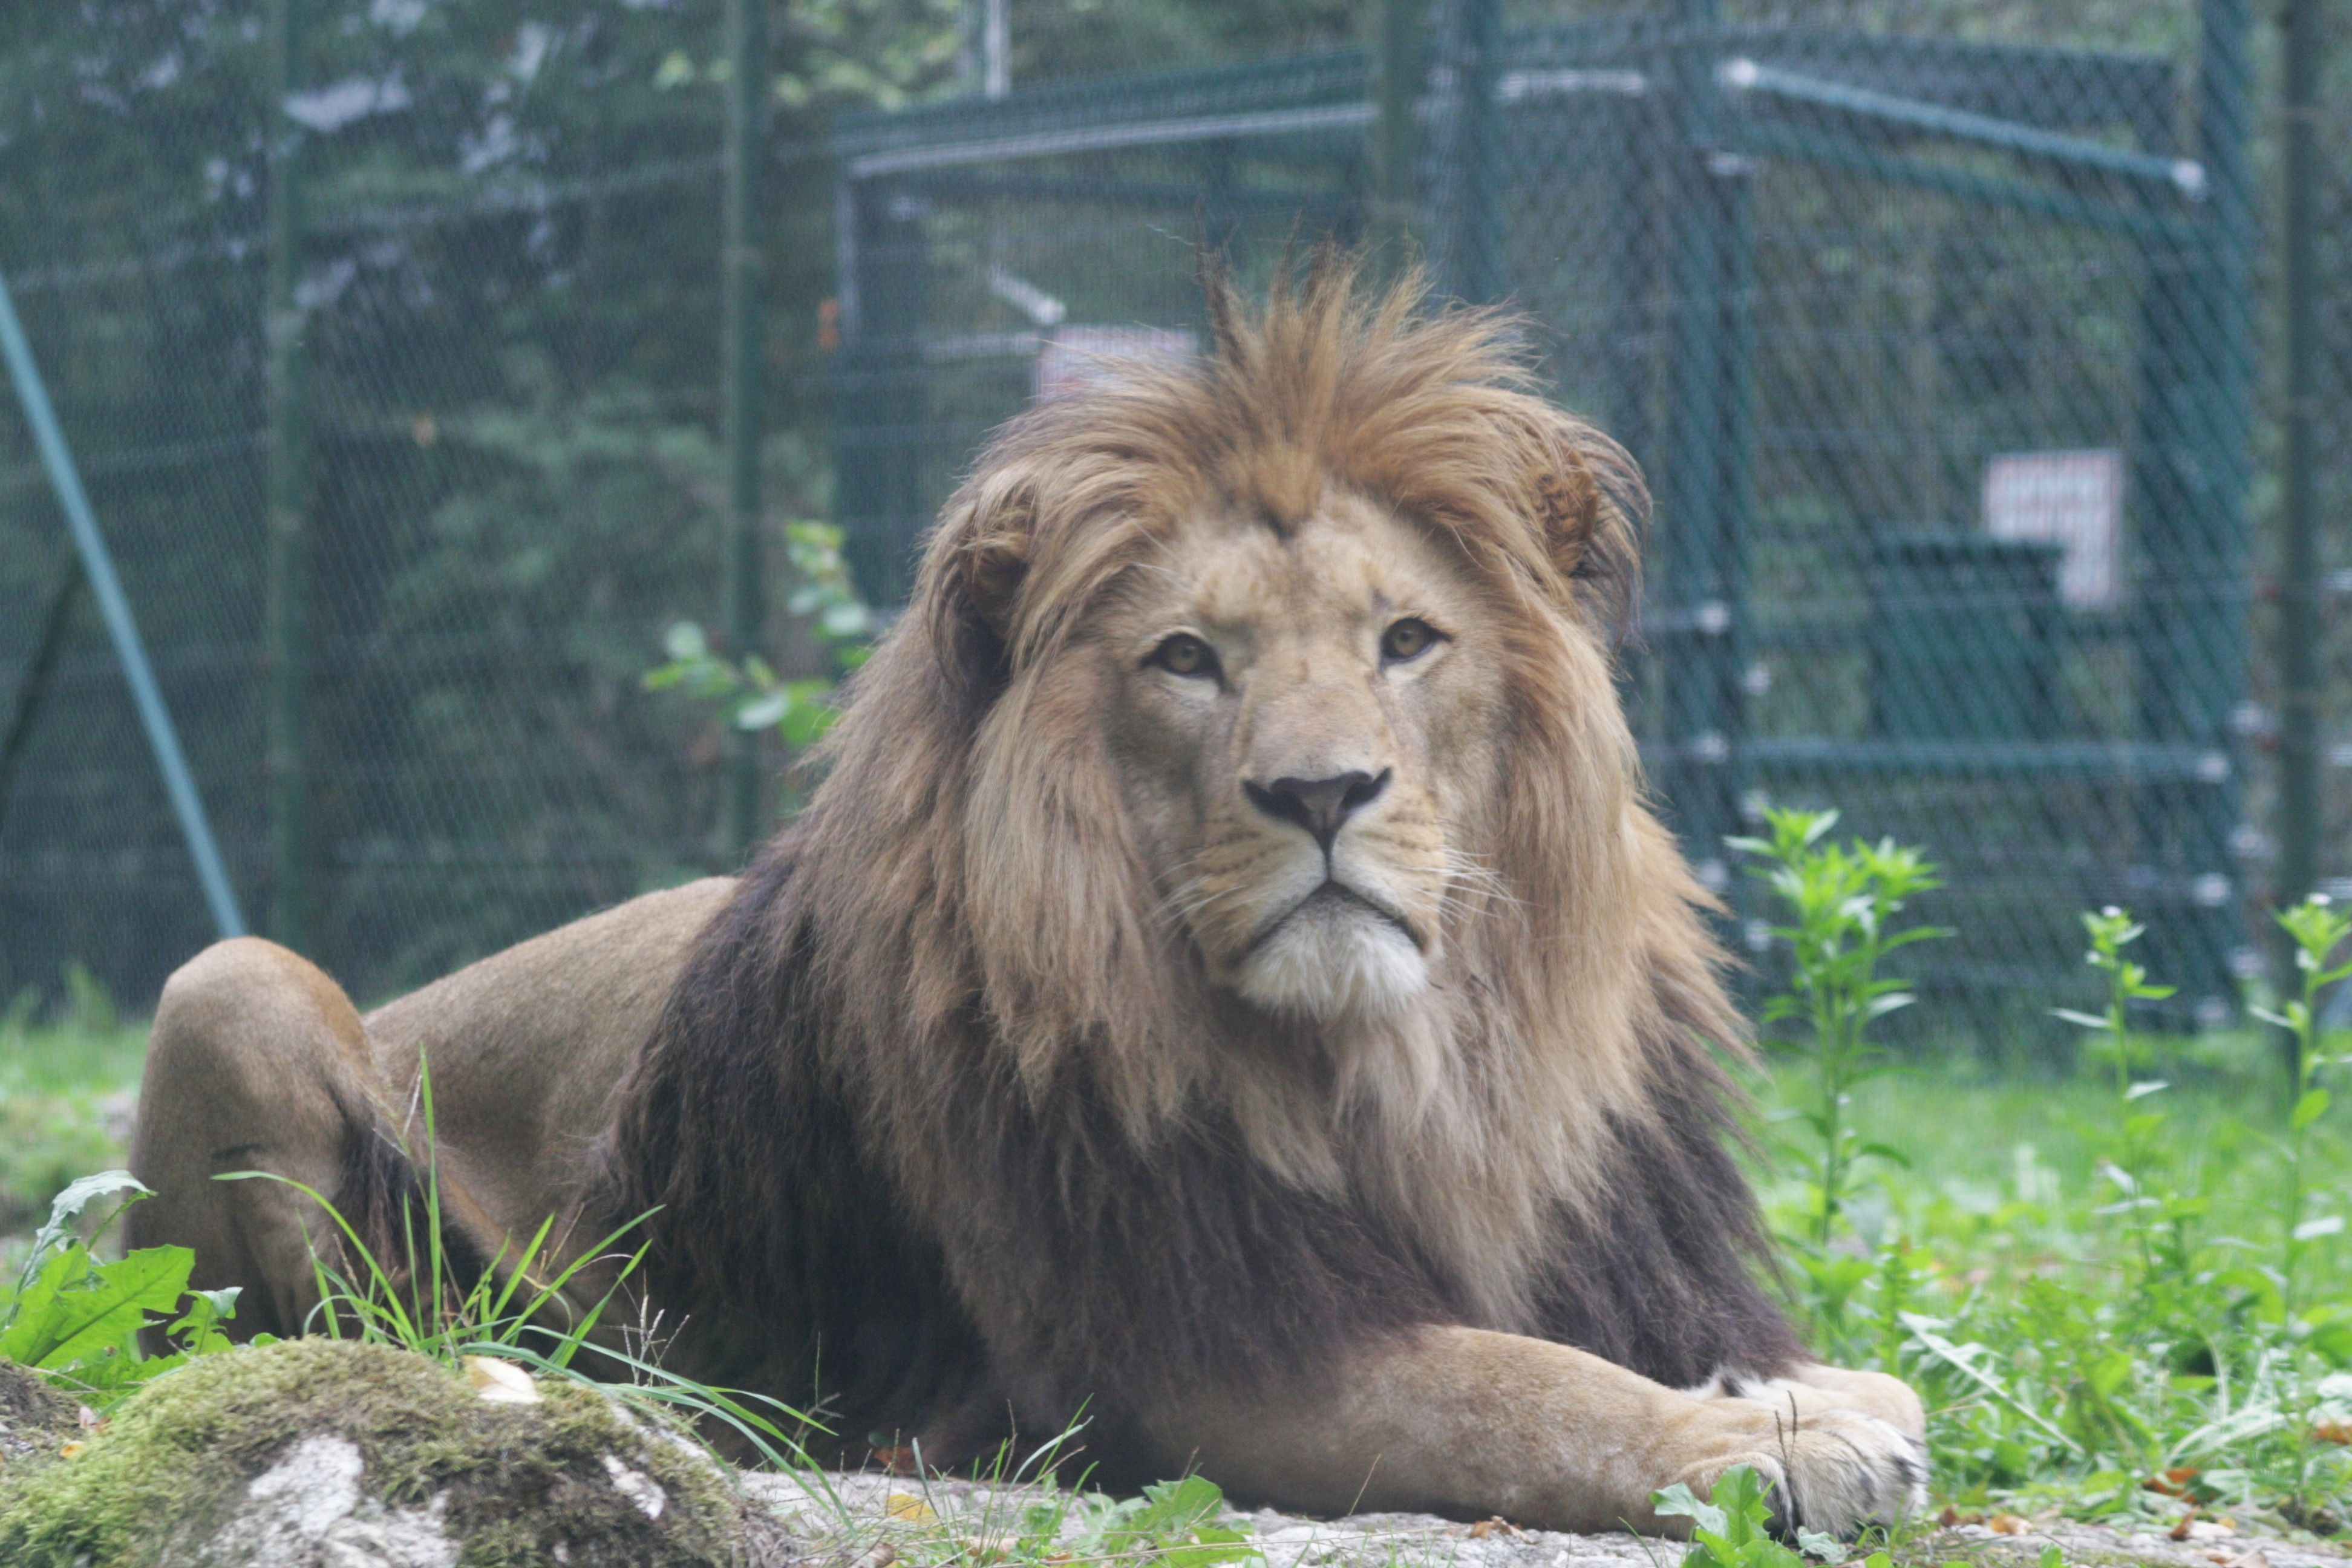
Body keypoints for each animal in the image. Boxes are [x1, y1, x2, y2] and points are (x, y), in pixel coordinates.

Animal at [129, 255, 1928, 1538]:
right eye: (1190, 662)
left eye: (1406, 640)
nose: (1322, 794)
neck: (1404, 1070)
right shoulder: (1182, 1357)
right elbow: (1521, 1390)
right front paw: (1778, 1438)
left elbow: (1650, 1346)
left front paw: (1814, 1391)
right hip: (230, 985)